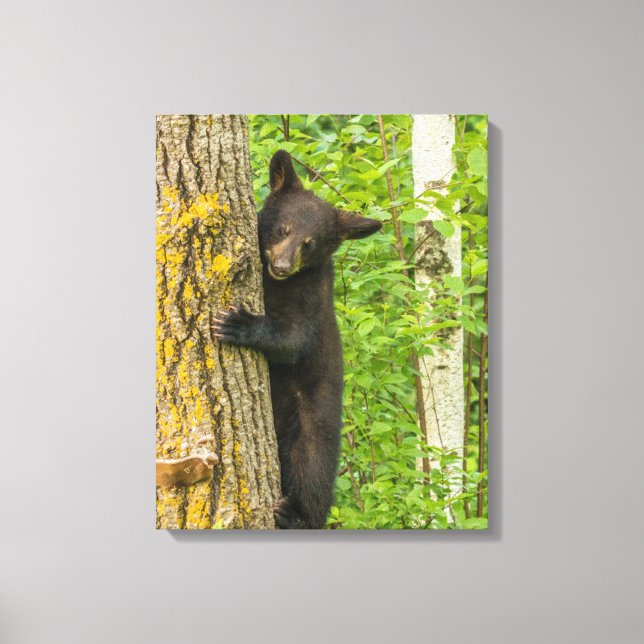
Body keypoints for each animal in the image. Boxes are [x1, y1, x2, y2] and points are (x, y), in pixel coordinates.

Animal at [212, 150, 382, 528]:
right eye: (282, 229)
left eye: (310, 243)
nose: (282, 266)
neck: (276, 285)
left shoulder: (311, 297)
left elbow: (294, 340)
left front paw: (238, 323)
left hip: (312, 425)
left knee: (312, 474)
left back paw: (294, 514)